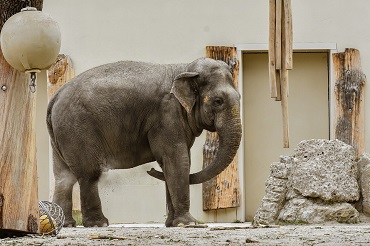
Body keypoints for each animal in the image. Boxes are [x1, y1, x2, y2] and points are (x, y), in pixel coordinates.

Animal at [46, 57, 243, 227]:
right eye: (218, 101)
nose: (151, 170)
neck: (184, 68)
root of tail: (55, 97)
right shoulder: (166, 115)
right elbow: (177, 159)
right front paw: (188, 224)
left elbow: (172, 162)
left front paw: (172, 224)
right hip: (77, 129)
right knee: (89, 174)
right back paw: (98, 224)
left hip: (61, 136)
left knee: (63, 177)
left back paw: (65, 224)